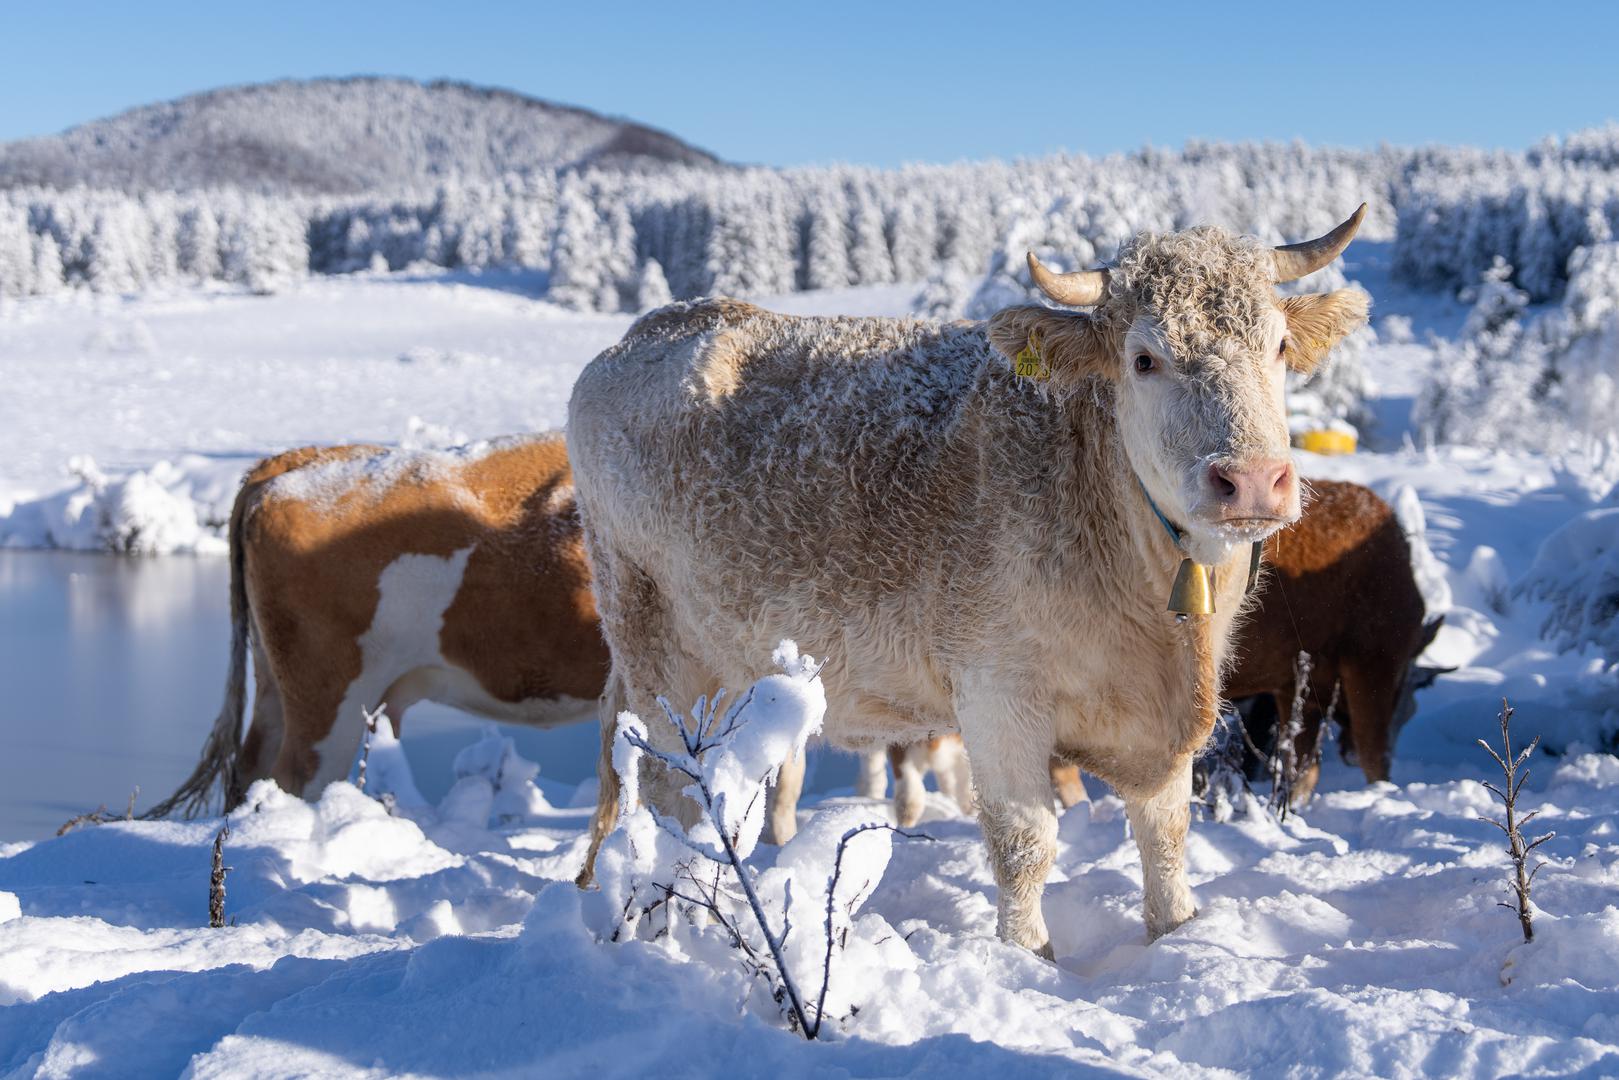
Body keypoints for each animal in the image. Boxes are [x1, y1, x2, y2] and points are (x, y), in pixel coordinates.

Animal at [566, 207, 1366, 952]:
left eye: (1279, 346)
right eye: (1144, 360)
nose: (1252, 480)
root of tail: (655, 327)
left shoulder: (1160, 725)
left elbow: (1165, 834)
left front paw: (1177, 936)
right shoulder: (996, 691)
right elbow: (1024, 841)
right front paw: (1028, 960)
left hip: (724, 663)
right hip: (655, 642)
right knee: (670, 788)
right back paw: (677, 922)